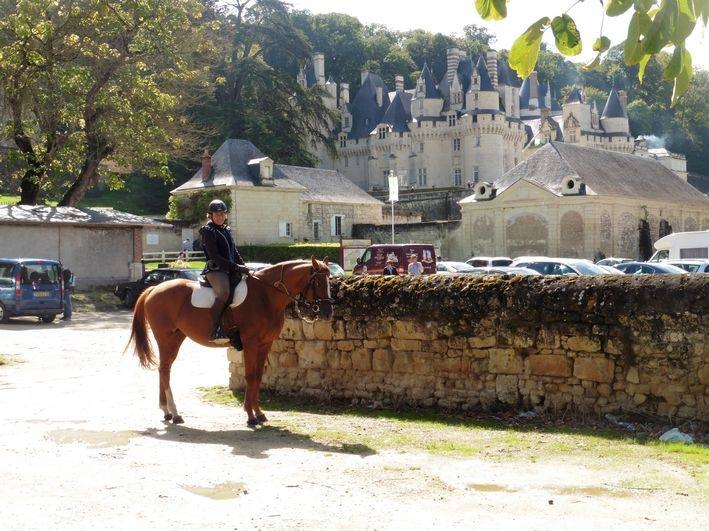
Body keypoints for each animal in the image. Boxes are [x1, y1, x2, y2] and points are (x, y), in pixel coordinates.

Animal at [126, 258, 332, 428]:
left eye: (329, 280)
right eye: (318, 282)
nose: (328, 312)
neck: (265, 295)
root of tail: (154, 289)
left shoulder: (265, 344)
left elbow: (258, 376)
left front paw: (259, 413)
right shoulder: (250, 344)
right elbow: (250, 376)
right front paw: (250, 416)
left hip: (176, 338)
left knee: (164, 369)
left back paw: (167, 411)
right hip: (166, 339)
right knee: (164, 370)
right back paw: (175, 413)